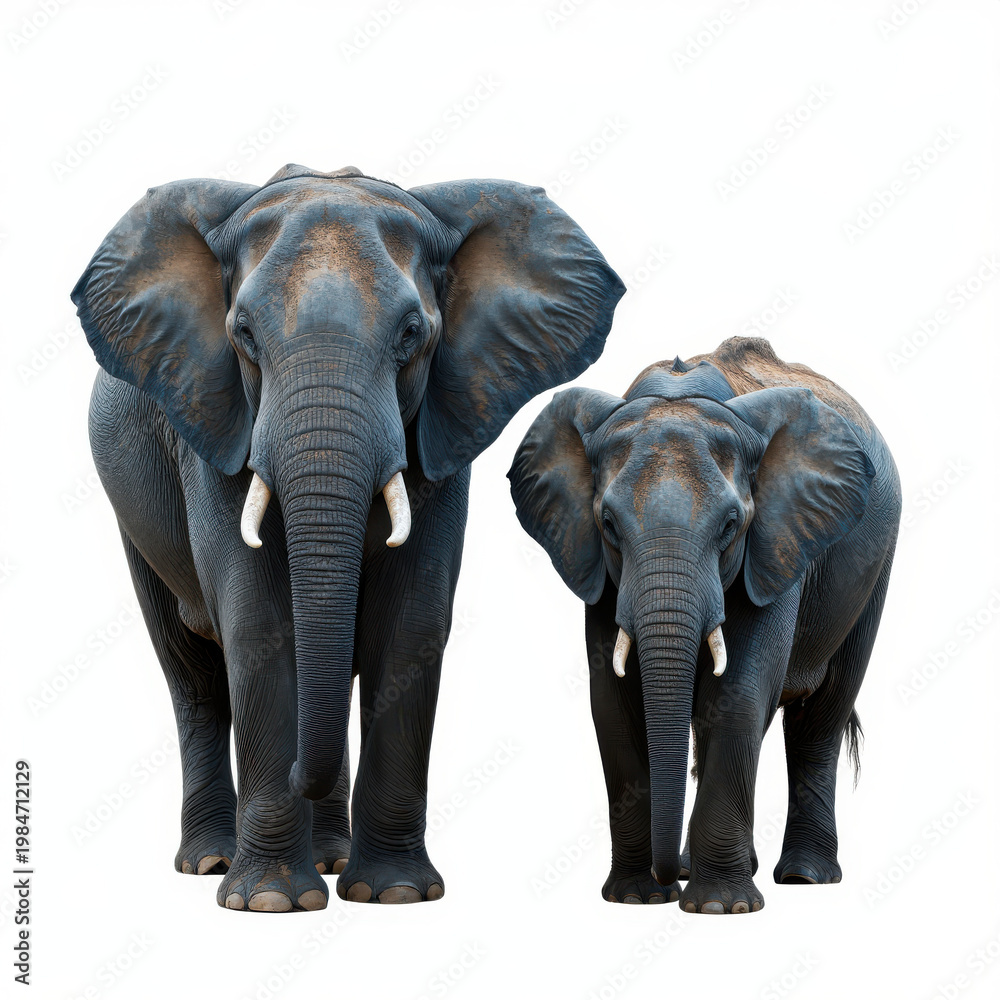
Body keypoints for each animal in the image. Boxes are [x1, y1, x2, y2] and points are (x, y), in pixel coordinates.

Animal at [72, 163, 624, 911]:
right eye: (243, 334)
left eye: (412, 333)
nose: (298, 773)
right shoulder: (215, 421)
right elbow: (260, 622)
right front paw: (270, 902)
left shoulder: (444, 425)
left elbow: (412, 623)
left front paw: (394, 894)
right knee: (191, 674)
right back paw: (213, 861)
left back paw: (331, 859)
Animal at [508, 336, 900, 913]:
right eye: (608, 524)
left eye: (731, 525)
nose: (668, 875)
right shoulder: (595, 566)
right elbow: (613, 701)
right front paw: (636, 898)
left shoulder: (776, 544)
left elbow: (738, 695)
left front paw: (720, 906)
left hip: (872, 571)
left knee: (821, 719)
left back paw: (804, 876)